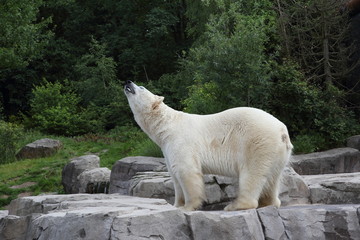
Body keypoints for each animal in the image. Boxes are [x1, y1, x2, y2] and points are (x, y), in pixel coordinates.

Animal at [124, 80, 292, 210]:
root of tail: (282, 130)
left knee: (252, 174)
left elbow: (186, 171)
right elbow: (174, 176)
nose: (128, 81)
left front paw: (188, 206)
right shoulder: (166, 148)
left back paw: (235, 205)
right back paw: (268, 202)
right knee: (272, 178)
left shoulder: (181, 140)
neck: (167, 125)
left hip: (257, 142)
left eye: (141, 87)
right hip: (278, 152)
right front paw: (176, 205)